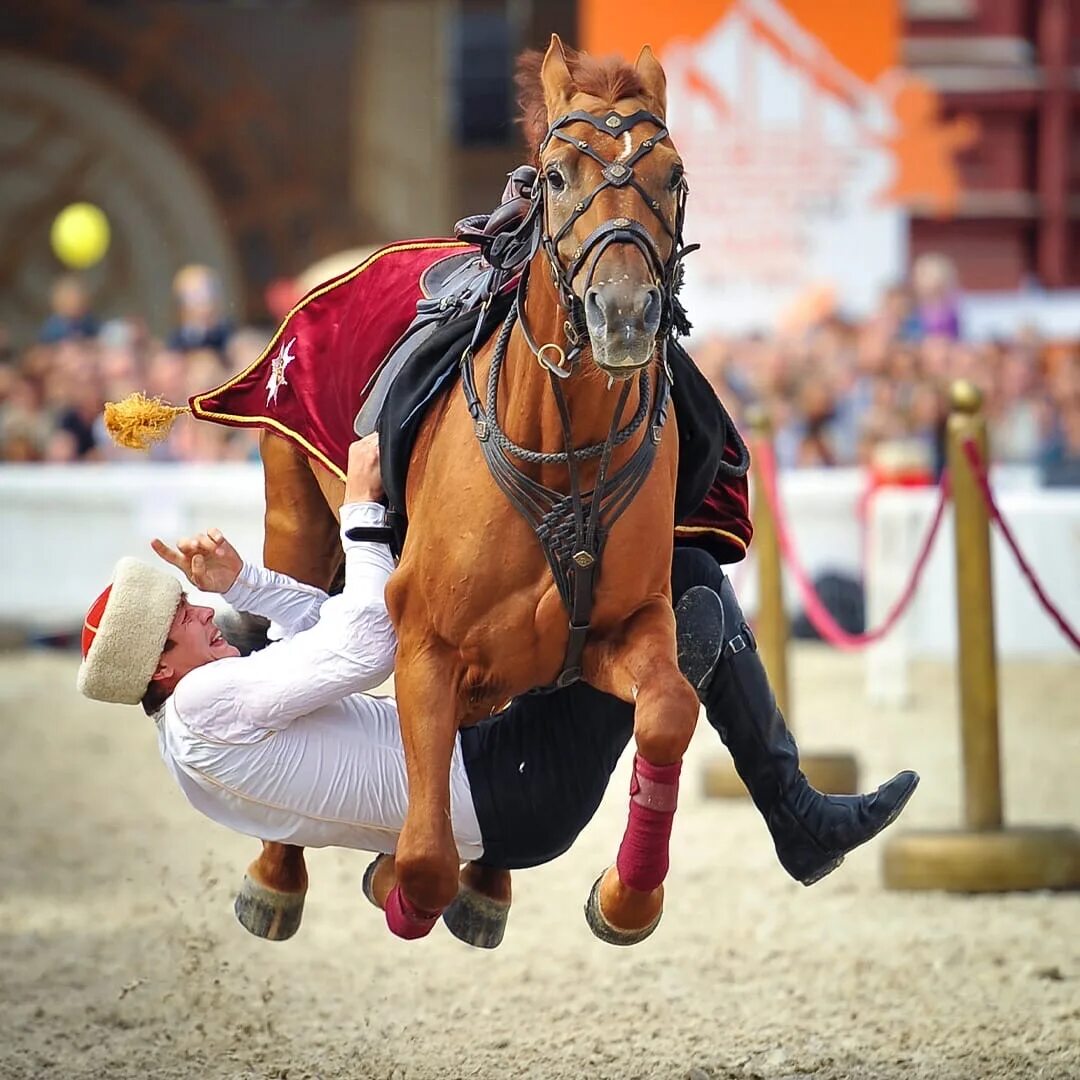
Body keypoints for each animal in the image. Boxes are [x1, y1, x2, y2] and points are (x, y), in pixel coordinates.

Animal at [240, 38, 695, 941]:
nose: (625, 314)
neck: (563, 456)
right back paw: (277, 874)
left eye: (672, 175)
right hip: (295, 514)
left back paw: (488, 884)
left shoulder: (622, 628)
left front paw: (626, 899)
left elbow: (667, 710)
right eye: (555, 175)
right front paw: (397, 879)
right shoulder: (426, 641)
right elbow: (423, 854)